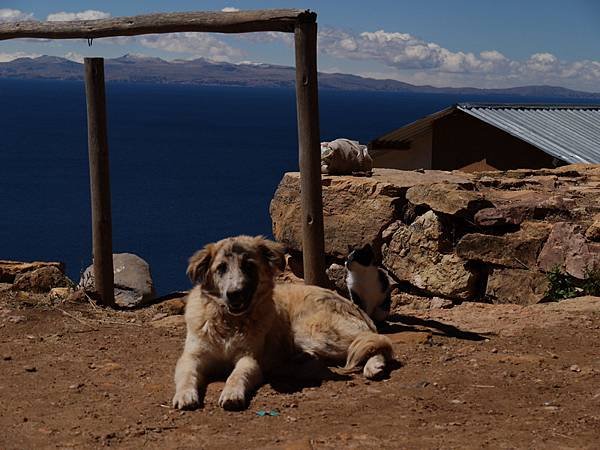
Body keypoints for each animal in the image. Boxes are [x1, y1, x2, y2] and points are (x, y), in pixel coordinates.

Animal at [172, 237, 394, 410]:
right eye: (221, 268)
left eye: (249, 266)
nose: (235, 294)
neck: (229, 321)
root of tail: (356, 307)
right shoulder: (191, 357)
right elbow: (186, 375)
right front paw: (184, 395)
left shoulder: (249, 358)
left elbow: (236, 375)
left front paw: (232, 393)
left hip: (310, 331)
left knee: (374, 341)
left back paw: (374, 365)